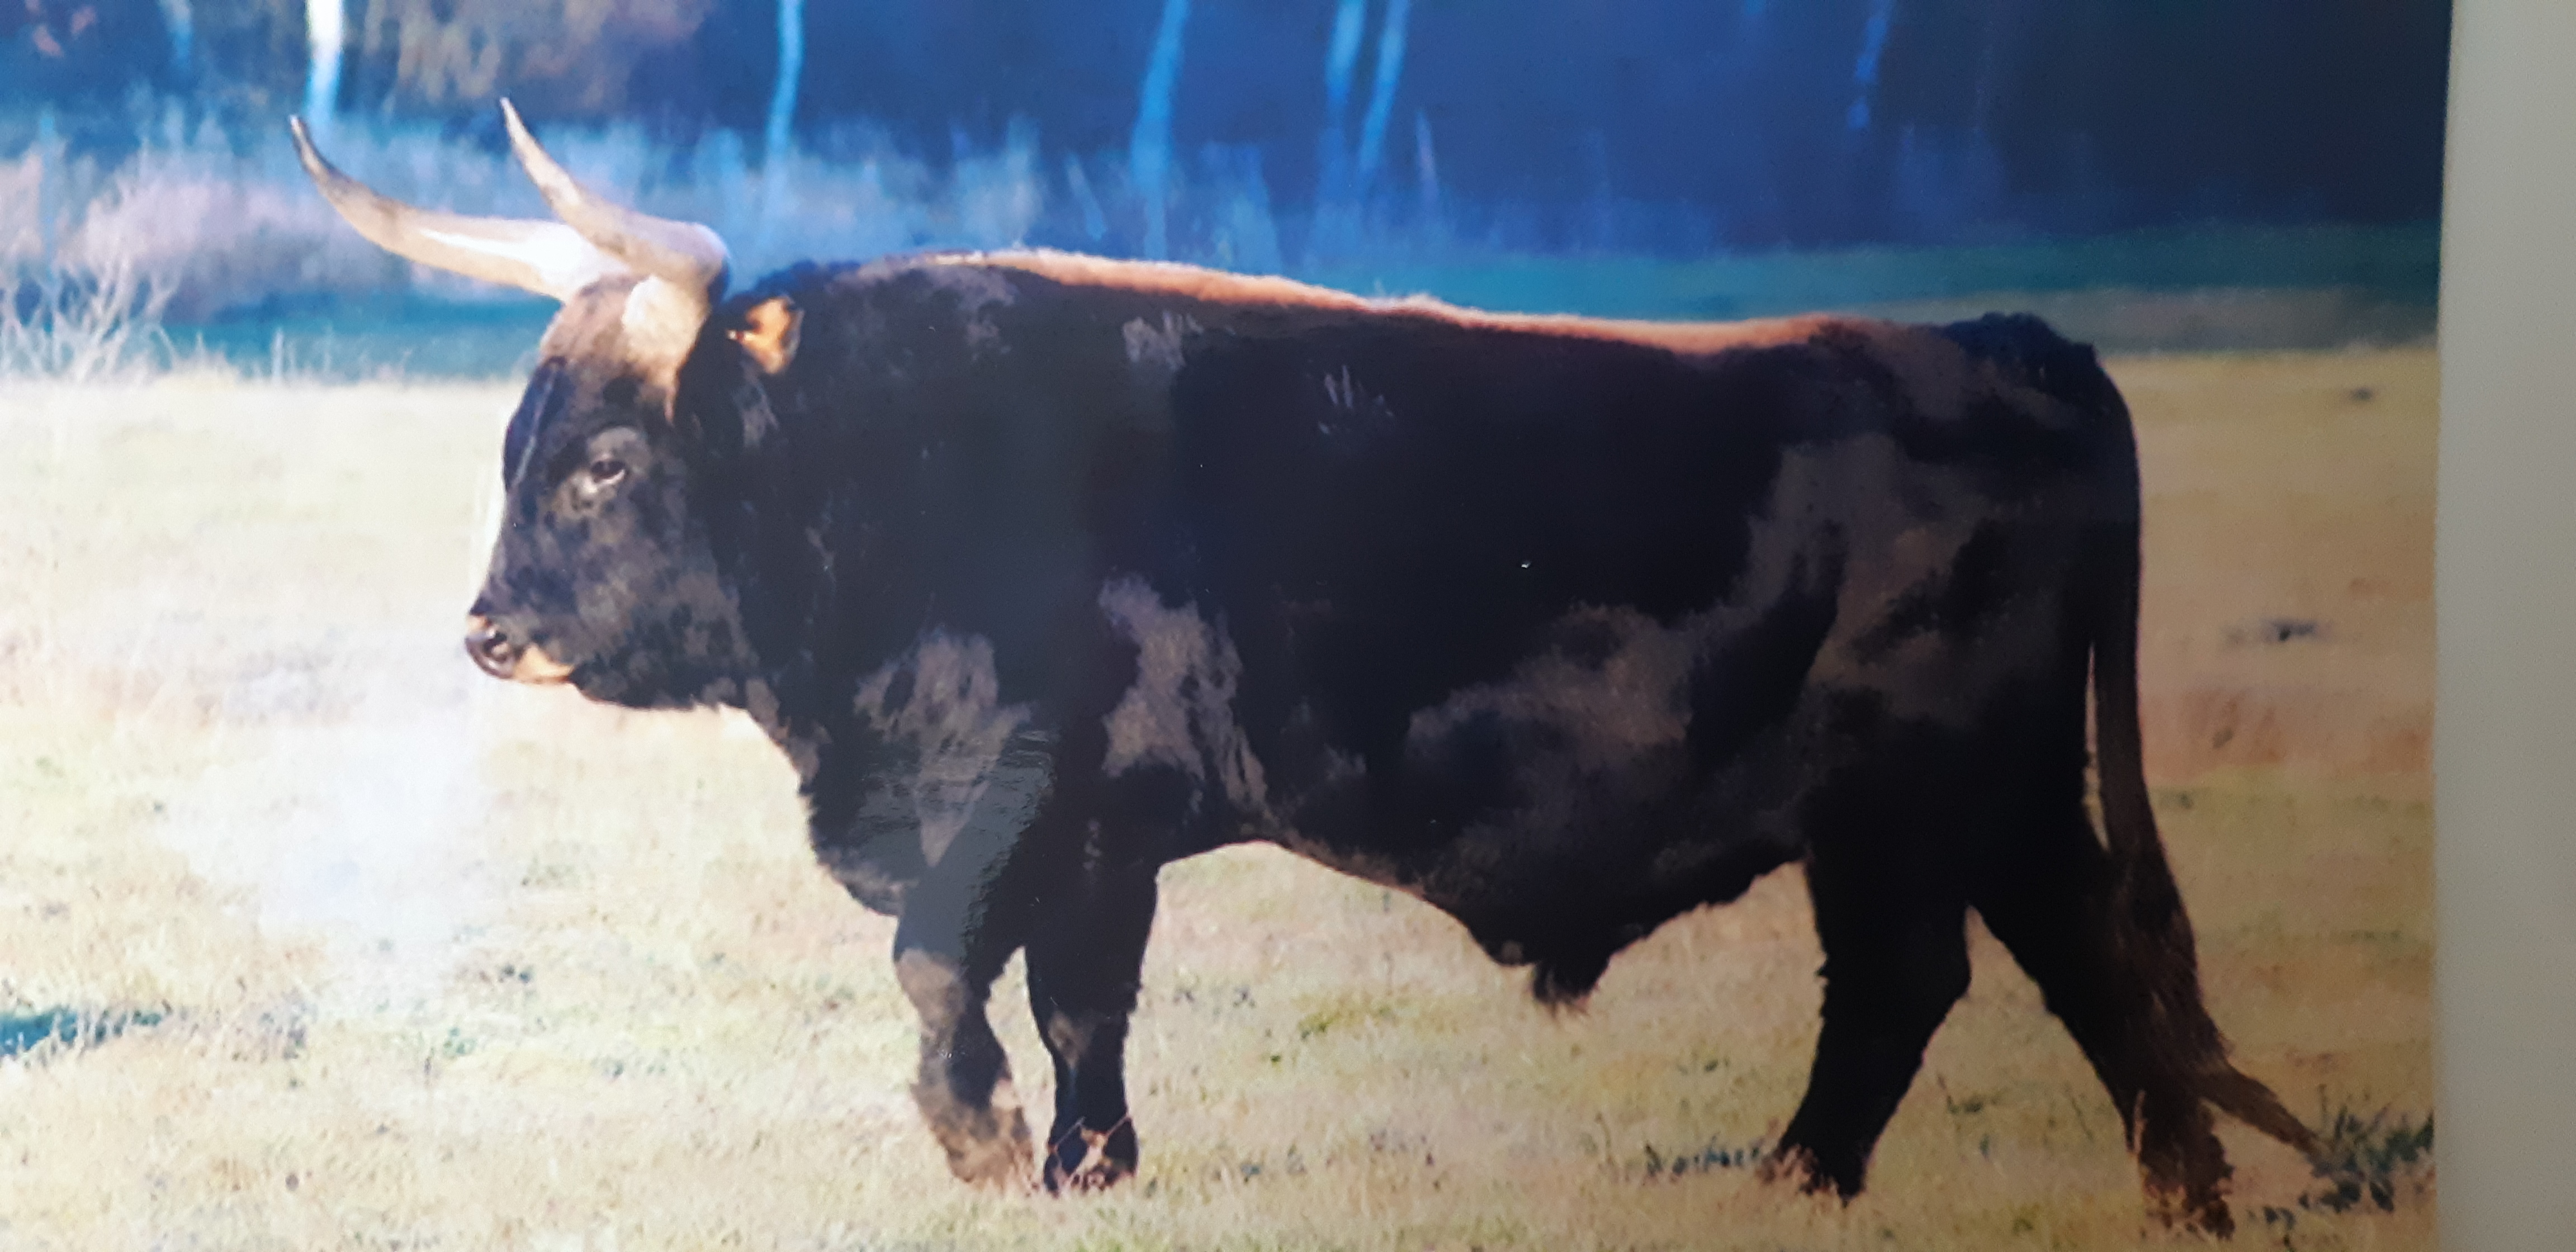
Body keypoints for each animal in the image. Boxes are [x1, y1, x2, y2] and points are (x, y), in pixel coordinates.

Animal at [292, 103, 2317, 1235]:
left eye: (603, 462)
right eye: (517, 443)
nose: (489, 629)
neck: (896, 462)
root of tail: (2005, 341)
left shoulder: (1022, 798)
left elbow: (949, 968)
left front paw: (989, 1148)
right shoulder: (1094, 841)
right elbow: (1080, 1007)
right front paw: (1082, 1170)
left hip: (1956, 787)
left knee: (2018, 969)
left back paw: (2040, 1195)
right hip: (1920, 809)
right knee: (1979, 974)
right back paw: (1933, 1192)